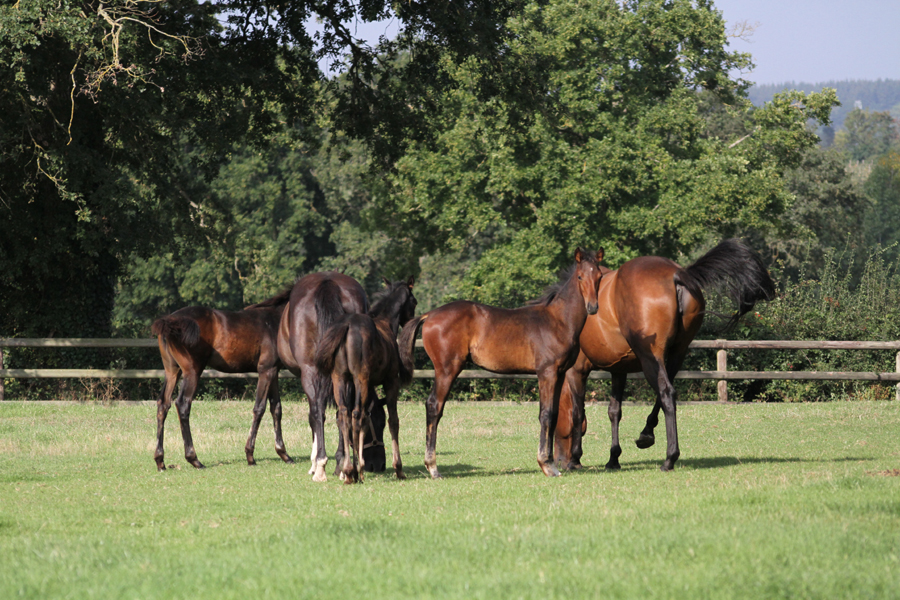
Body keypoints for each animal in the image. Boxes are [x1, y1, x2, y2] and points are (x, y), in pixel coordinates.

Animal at [150, 288, 292, 472]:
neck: (275, 321)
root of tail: (170, 321)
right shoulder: (266, 371)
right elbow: (259, 408)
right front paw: (250, 456)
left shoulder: (273, 371)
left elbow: (276, 409)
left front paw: (284, 454)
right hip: (191, 372)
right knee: (182, 404)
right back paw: (194, 459)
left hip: (172, 371)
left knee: (163, 404)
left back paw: (160, 461)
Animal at [278, 272, 370, 482]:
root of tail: (328, 282)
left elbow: (313, 417)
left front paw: (314, 464)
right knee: (345, 410)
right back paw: (344, 466)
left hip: (311, 371)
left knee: (318, 411)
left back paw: (320, 466)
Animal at [314, 278, 416, 482]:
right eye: (414, 302)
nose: (379, 465)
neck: (385, 324)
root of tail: (347, 325)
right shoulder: (391, 382)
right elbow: (393, 421)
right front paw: (398, 468)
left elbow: (351, 418)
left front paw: (351, 466)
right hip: (360, 378)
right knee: (355, 414)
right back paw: (353, 471)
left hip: (339, 378)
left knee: (344, 413)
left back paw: (348, 470)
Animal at [400, 247, 604, 478]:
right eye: (580, 276)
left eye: (599, 276)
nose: (592, 307)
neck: (558, 321)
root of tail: (429, 315)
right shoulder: (547, 373)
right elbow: (546, 414)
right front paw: (546, 464)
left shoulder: (560, 374)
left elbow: (553, 415)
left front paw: (551, 464)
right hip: (447, 369)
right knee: (434, 406)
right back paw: (433, 467)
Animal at [552, 237, 776, 472]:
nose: (560, 460)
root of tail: (676, 274)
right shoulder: (618, 370)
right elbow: (614, 411)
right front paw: (613, 458)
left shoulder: (577, 371)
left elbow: (578, 413)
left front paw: (576, 458)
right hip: (677, 354)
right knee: (667, 393)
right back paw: (646, 434)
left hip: (650, 358)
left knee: (666, 393)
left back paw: (670, 457)